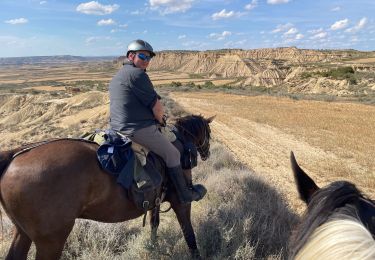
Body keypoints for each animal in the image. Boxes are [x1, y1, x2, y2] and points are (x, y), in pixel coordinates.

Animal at [0, 115, 214, 258]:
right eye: (209, 133)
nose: (206, 153)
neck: (180, 144)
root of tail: (13, 155)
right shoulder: (180, 201)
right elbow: (189, 232)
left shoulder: (156, 201)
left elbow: (155, 224)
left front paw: (153, 247)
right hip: (51, 241)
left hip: (22, 233)